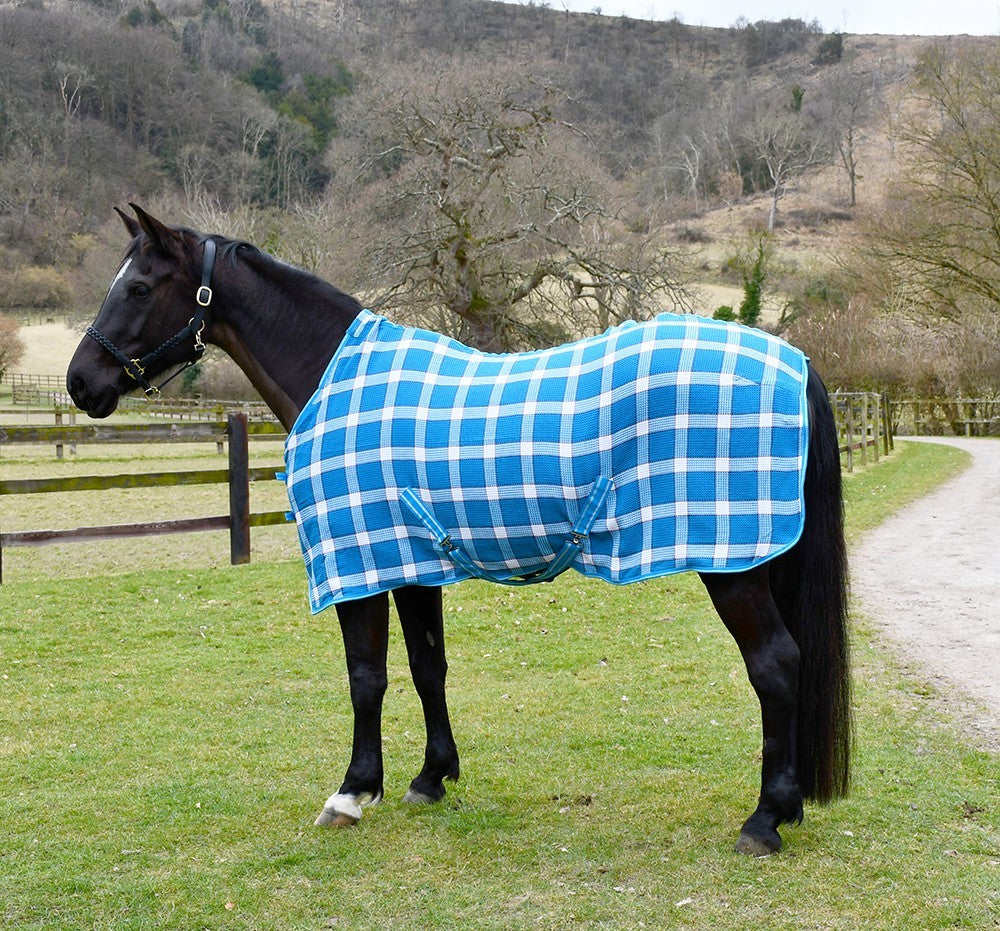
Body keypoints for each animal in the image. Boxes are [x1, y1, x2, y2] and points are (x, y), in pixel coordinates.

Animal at [66, 205, 851, 856]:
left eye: (140, 287)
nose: (81, 383)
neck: (332, 379)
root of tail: (795, 363)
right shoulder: (411, 562)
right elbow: (427, 666)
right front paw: (430, 777)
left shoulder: (360, 562)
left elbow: (366, 676)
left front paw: (352, 792)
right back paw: (785, 809)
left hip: (732, 563)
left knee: (775, 665)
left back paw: (764, 820)